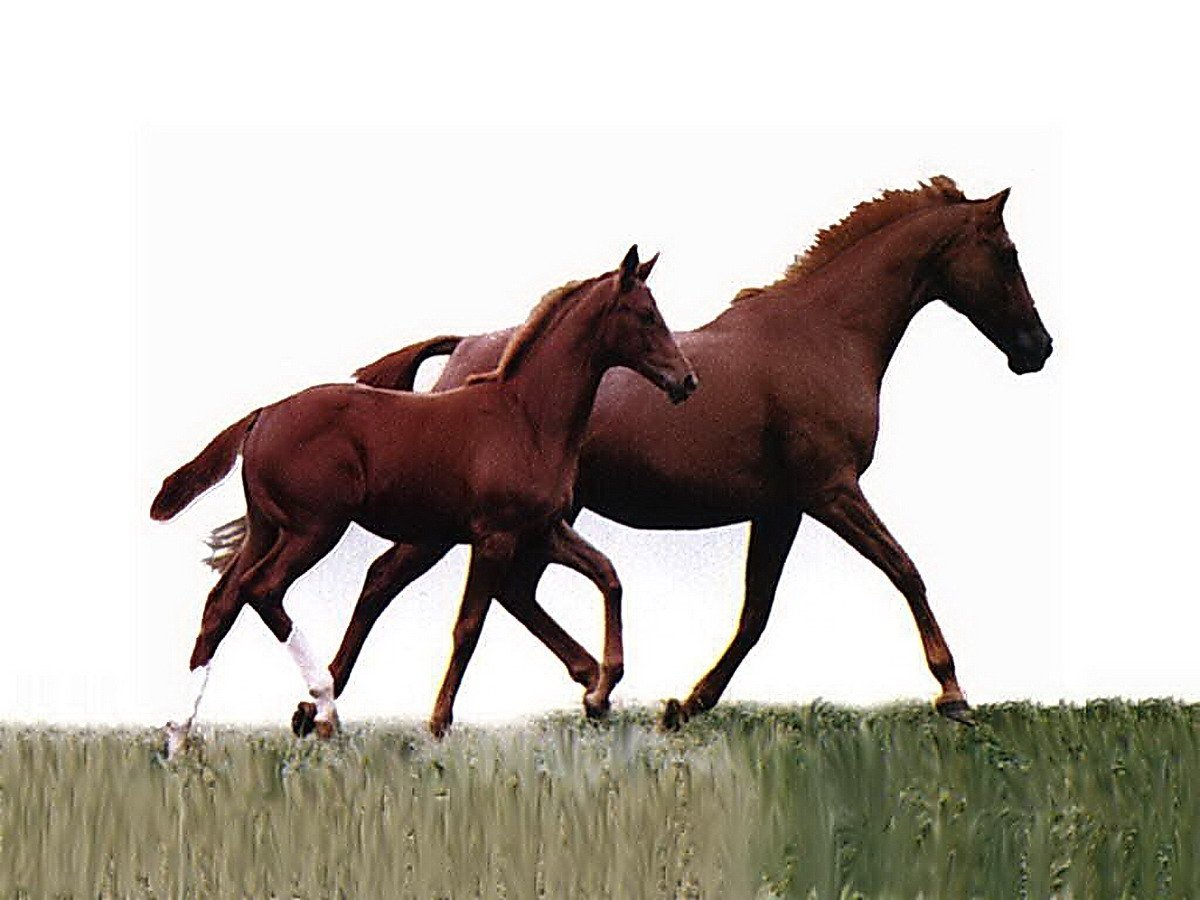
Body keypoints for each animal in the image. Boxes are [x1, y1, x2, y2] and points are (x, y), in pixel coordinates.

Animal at [150, 246, 697, 753]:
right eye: (646, 315)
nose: (686, 380)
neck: (526, 417)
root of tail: (262, 415)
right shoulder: (496, 536)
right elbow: (469, 625)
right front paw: (439, 722)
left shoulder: (541, 529)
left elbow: (607, 574)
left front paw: (600, 690)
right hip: (314, 529)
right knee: (262, 590)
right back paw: (323, 707)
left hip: (268, 527)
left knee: (222, 603)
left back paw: (178, 738)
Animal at [213, 177, 1052, 734]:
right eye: (1008, 252)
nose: (1037, 349)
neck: (825, 335)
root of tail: (466, 353)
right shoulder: (830, 491)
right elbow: (904, 569)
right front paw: (953, 692)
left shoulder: (782, 509)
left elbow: (755, 612)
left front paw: (686, 703)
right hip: (459, 525)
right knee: (388, 581)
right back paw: (325, 705)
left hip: (529, 522)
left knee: (503, 592)